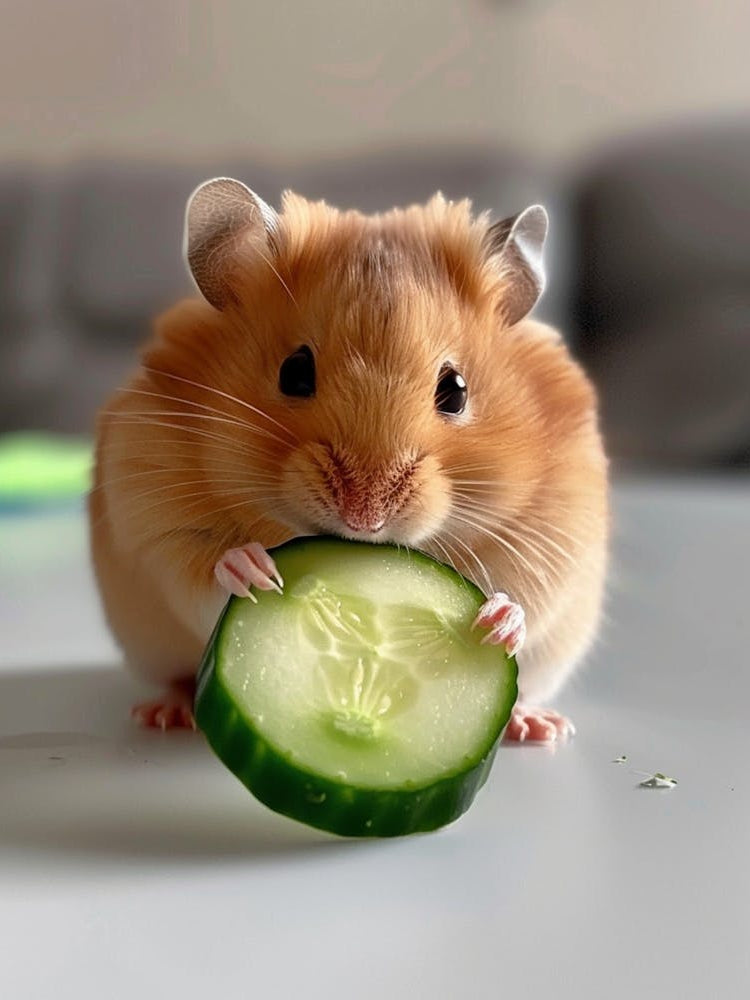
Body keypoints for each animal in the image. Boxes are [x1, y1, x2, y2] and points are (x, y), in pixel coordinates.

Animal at [89, 178, 608, 741]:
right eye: (294, 373)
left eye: (455, 390)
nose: (365, 516)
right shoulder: (157, 521)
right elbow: (204, 570)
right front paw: (253, 568)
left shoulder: (552, 542)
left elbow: (527, 599)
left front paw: (499, 619)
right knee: (178, 677)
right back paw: (165, 714)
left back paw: (539, 726)